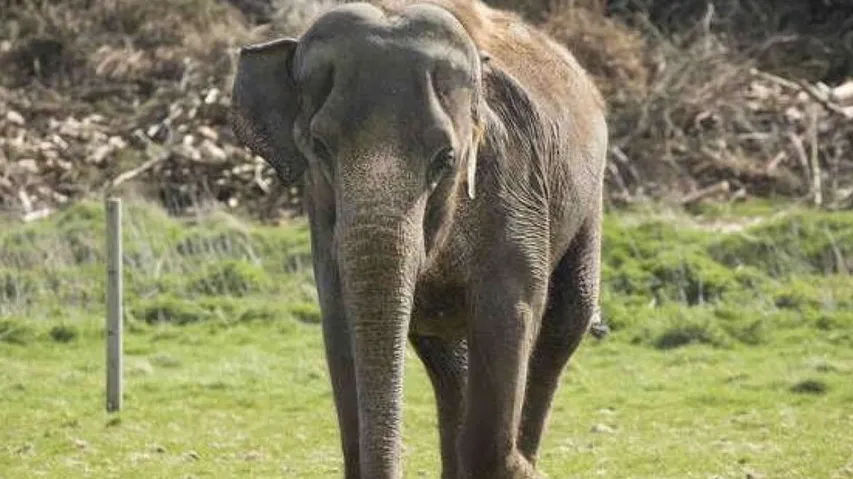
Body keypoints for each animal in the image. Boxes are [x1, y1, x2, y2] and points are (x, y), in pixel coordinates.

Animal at [229, 0, 609, 477]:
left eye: (444, 159)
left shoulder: (516, 190)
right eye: (319, 147)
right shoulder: (320, 214)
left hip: (588, 196)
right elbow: (341, 316)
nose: (524, 466)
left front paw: (513, 464)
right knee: (447, 358)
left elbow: (510, 311)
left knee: (567, 314)